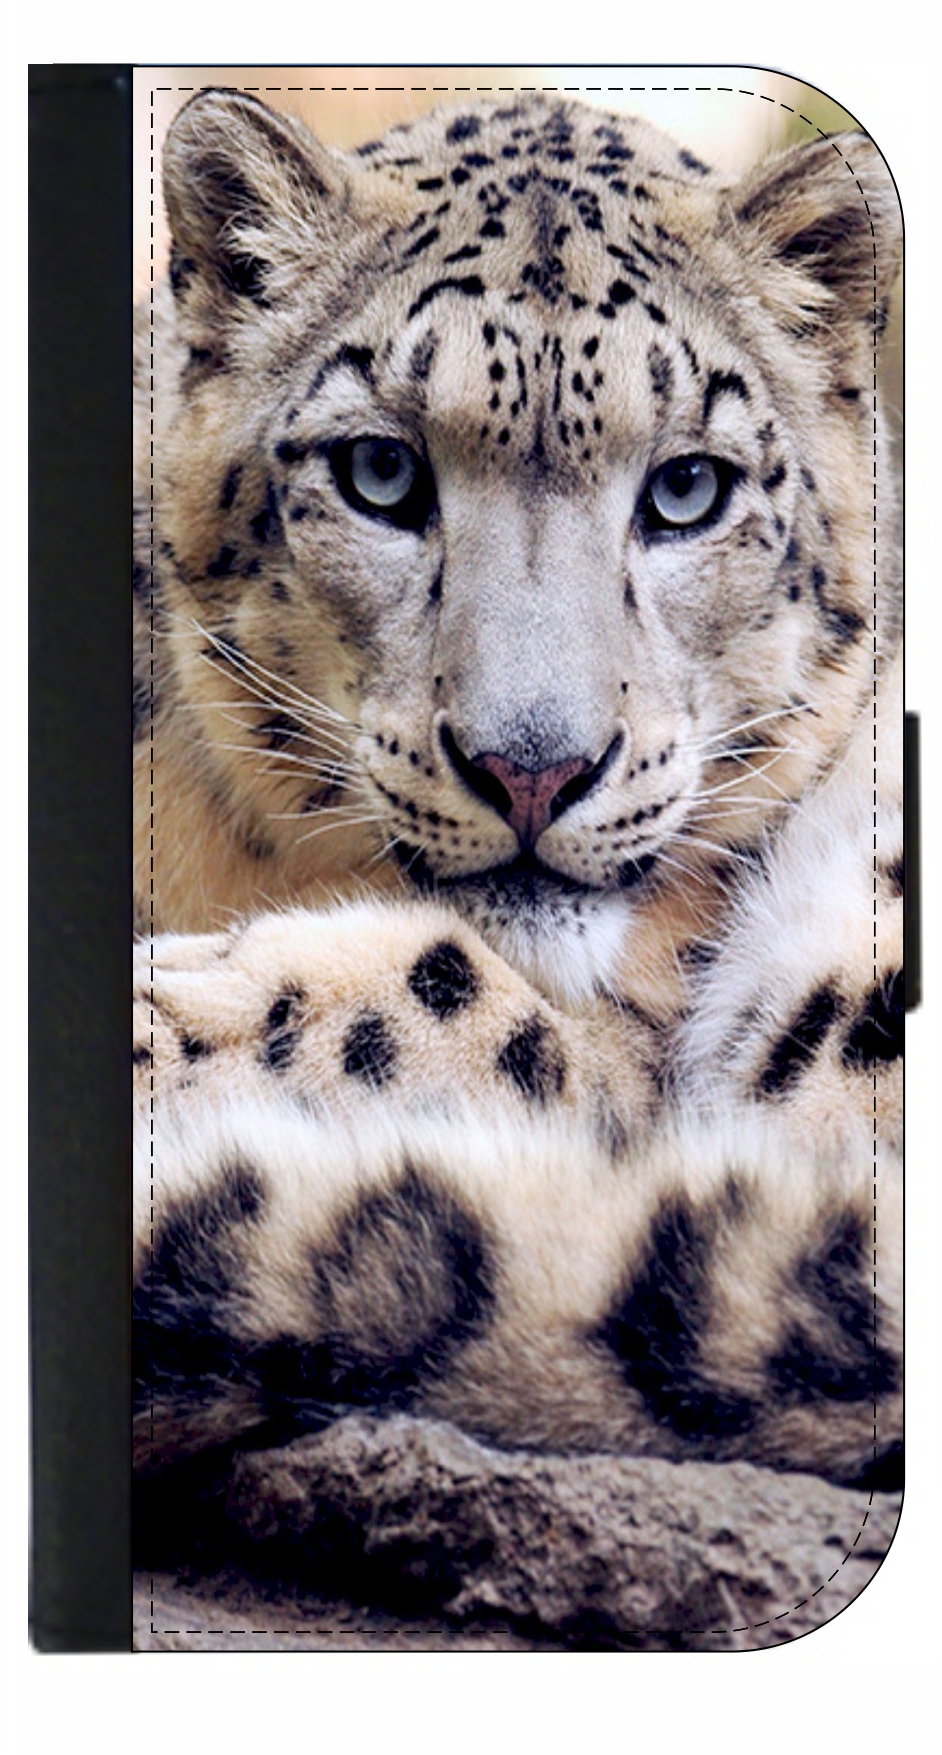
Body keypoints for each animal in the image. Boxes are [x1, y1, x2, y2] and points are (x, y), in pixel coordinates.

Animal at [133, 90, 904, 1500]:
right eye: (380, 472)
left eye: (688, 487)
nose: (533, 766)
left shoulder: (642, 1047)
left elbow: (471, 1013)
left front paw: (169, 1013)